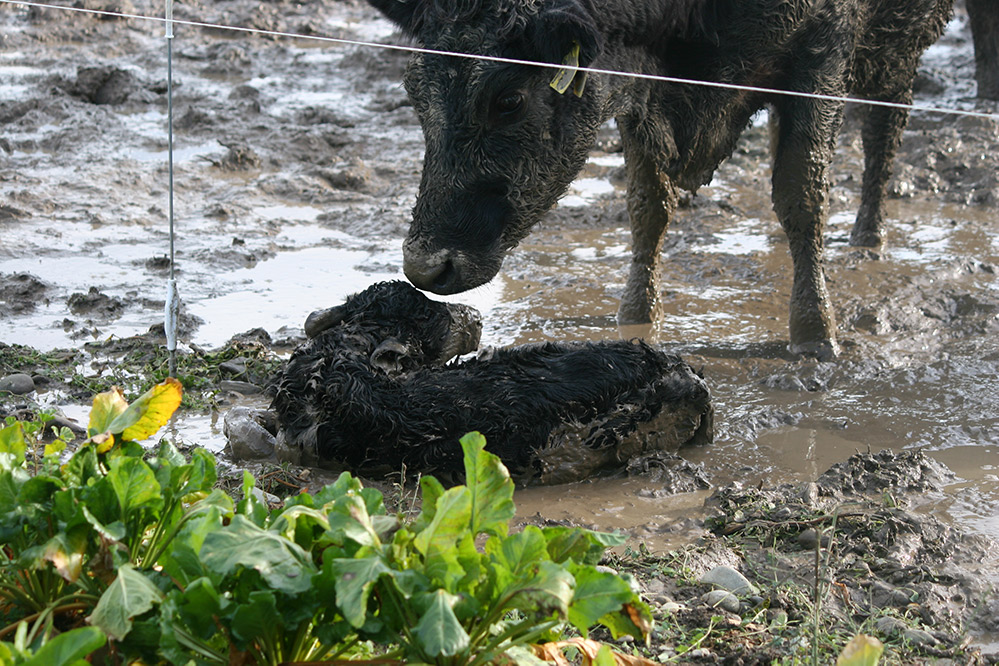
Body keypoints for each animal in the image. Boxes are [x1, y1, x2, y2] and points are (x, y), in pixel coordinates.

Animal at [366, 0, 952, 358]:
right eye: (415, 94)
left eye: (508, 100)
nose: (423, 266)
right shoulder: (637, 91)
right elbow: (648, 207)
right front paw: (636, 316)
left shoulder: (822, 54)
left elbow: (801, 194)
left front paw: (814, 332)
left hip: (896, 52)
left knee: (884, 128)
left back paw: (868, 237)